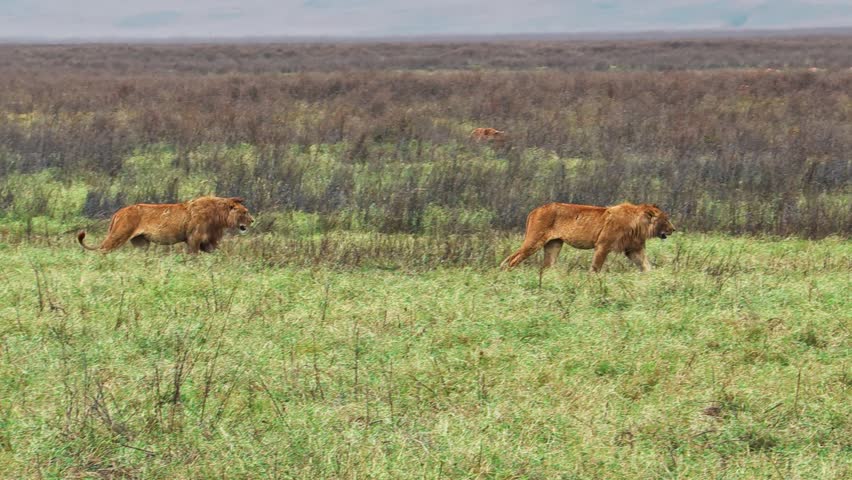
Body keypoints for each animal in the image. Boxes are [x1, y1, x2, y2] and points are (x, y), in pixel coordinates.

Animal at [77, 196, 254, 254]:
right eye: (245, 212)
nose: (252, 220)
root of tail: (118, 212)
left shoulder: (208, 242)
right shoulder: (194, 238)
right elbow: (194, 256)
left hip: (141, 243)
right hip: (119, 234)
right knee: (102, 250)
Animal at [501, 202, 675, 277]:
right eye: (665, 219)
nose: (673, 229)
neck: (638, 225)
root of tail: (535, 209)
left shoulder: (634, 249)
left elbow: (646, 266)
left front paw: (653, 280)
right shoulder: (603, 245)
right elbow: (596, 268)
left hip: (553, 245)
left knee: (546, 266)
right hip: (534, 241)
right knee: (513, 259)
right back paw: (507, 274)